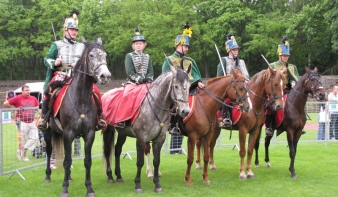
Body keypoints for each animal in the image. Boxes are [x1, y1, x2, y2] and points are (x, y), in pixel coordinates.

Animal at [41, 37, 111, 197]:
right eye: (91, 55)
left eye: (104, 55)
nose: (105, 76)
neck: (81, 98)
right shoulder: (68, 133)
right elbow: (67, 161)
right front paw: (64, 189)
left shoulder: (88, 134)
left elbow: (87, 161)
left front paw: (89, 188)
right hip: (48, 132)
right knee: (49, 151)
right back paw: (47, 176)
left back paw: (69, 177)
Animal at [101, 64, 191, 192]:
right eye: (176, 86)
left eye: (189, 86)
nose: (185, 111)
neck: (155, 106)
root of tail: (105, 95)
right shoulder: (141, 138)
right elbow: (140, 161)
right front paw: (138, 185)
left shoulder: (159, 139)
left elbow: (157, 161)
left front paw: (157, 185)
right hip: (108, 130)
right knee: (108, 151)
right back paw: (110, 176)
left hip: (123, 133)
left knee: (117, 150)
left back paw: (118, 176)